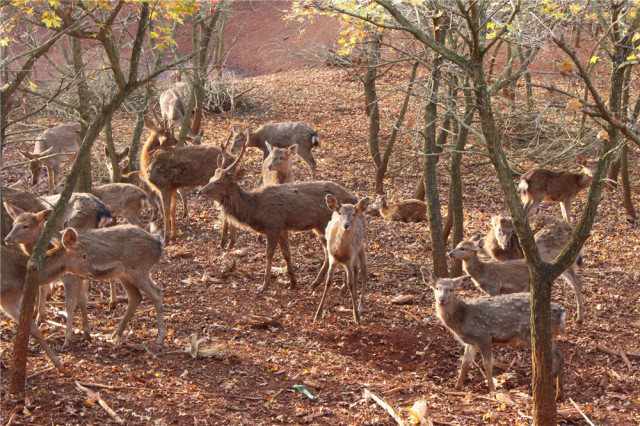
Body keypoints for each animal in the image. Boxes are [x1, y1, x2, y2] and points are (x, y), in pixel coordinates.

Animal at [0, 228, 94, 372]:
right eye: (84, 255)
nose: (92, 273)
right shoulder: (6, 299)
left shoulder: (11, 300)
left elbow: (32, 328)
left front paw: (59, 364)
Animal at [198, 140, 358, 292]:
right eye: (211, 178)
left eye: (219, 182)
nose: (199, 191)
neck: (254, 209)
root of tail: (353, 198)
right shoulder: (283, 228)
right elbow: (287, 254)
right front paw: (293, 283)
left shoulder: (273, 225)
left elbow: (269, 254)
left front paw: (264, 285)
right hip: (320, 227)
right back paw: (324, 284)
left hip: (325, 224)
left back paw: (332, 285)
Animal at [312, 196, 368, 326]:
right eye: (340, 213)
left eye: (353, 214)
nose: (346, 225)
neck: (341, 251)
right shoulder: (333, 259)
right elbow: (328, 282)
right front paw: (318, 314)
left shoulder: (349, 259)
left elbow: (351, 283)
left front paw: (356, 317)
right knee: (357, 268)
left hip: (360, 245)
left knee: (363, 269)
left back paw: (361, 304)